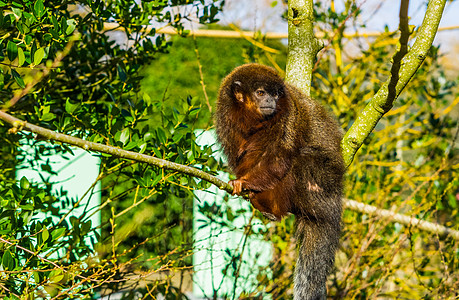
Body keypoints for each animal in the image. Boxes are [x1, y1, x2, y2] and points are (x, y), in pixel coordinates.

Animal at [216, 63, 344, 300]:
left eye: (275, 94)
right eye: (260, 93)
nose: (271, 101)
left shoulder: (288, 112)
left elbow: (279, 157)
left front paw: (245, 183)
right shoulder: (224, 113)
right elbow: (239, 156)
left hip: (323, 181)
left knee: (298, 160)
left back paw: (272, 208)